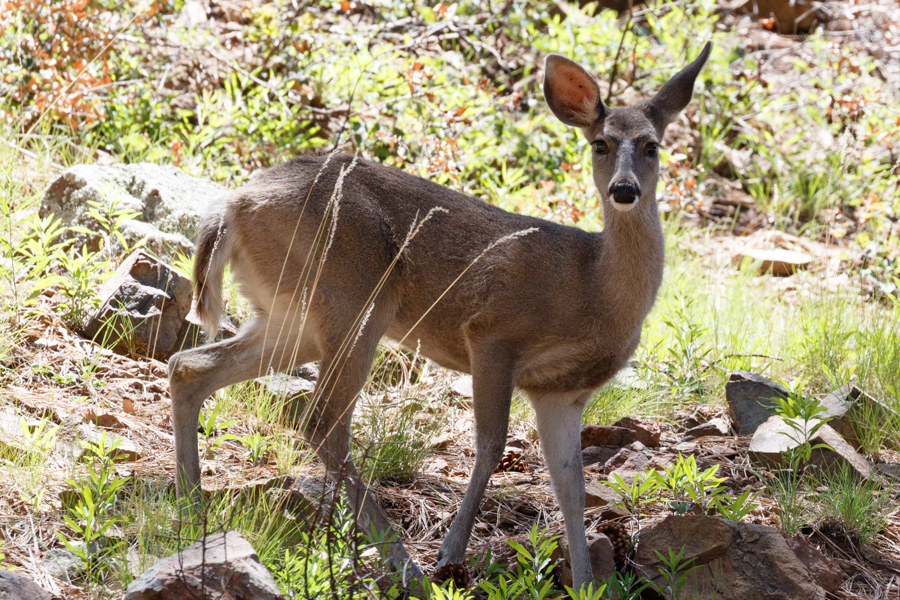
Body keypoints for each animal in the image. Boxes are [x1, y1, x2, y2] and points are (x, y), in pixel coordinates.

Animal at [169, 42, 712, 592]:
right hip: (354, 298)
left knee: (190, 366)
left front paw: (584, 584)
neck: (592, 284)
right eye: (600, 143)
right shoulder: (493, 333)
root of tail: (230, 206)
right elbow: (491, 446)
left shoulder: (560, 391)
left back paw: (192, 508)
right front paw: (451, 552)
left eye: (651, 146)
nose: (624, 190)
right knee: (322, 421)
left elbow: (571, 487)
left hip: (292, 317)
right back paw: (404, 564)